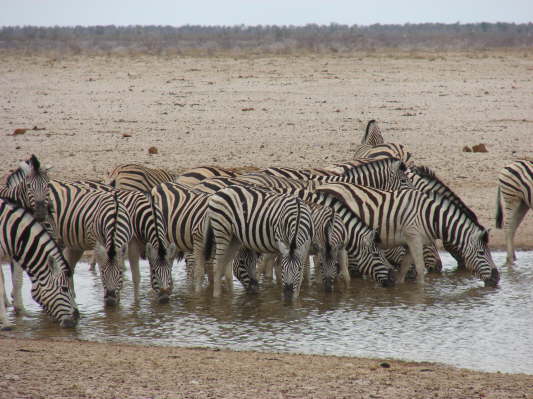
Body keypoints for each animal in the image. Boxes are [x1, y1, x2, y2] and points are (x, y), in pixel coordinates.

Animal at [0, 198, 79, 330]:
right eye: (64, 288)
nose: (75, 320)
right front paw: (6, 323)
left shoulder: (15, 252)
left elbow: (17, 280)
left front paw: (21, 311)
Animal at [312, 183, 498, 286]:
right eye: (481, 253)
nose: (497, 278)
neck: (430, 216)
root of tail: (320, 187)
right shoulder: (414, 238)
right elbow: (420, 268)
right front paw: (420, 292)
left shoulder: (412, 241)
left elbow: (404, 268)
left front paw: (401, 287)